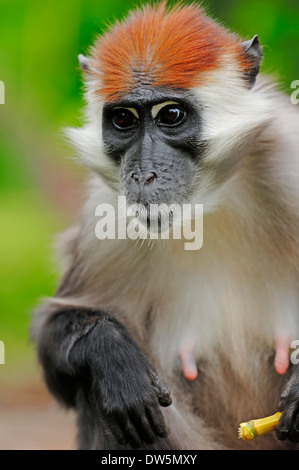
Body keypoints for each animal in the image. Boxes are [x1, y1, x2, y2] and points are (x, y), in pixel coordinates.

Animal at [31, 1, 299, 450]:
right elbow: (55, 333)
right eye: (123, 120)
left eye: (170, 114)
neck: (210, 205)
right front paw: (109, 354)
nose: (142, 176)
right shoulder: (107, 215)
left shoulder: (290, 162)